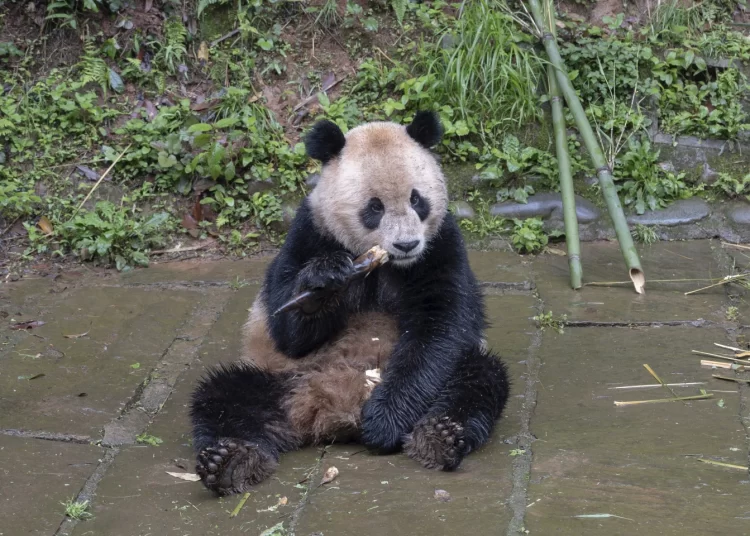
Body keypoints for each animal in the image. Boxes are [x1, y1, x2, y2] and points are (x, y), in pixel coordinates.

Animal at [189, 111, 511, 496]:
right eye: (374, 207)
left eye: (417, 200)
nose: (406, 244)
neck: (381, 262)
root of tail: (332, 410)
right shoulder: (310, 233)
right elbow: (286, 328)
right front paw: (323, 284)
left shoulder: (440, 246)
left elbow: (440, 327)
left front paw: (385, 422)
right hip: (281, 378)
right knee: (223, 396)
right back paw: (231, 462)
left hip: (453, 375)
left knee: (478, 379)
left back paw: (439, 437)